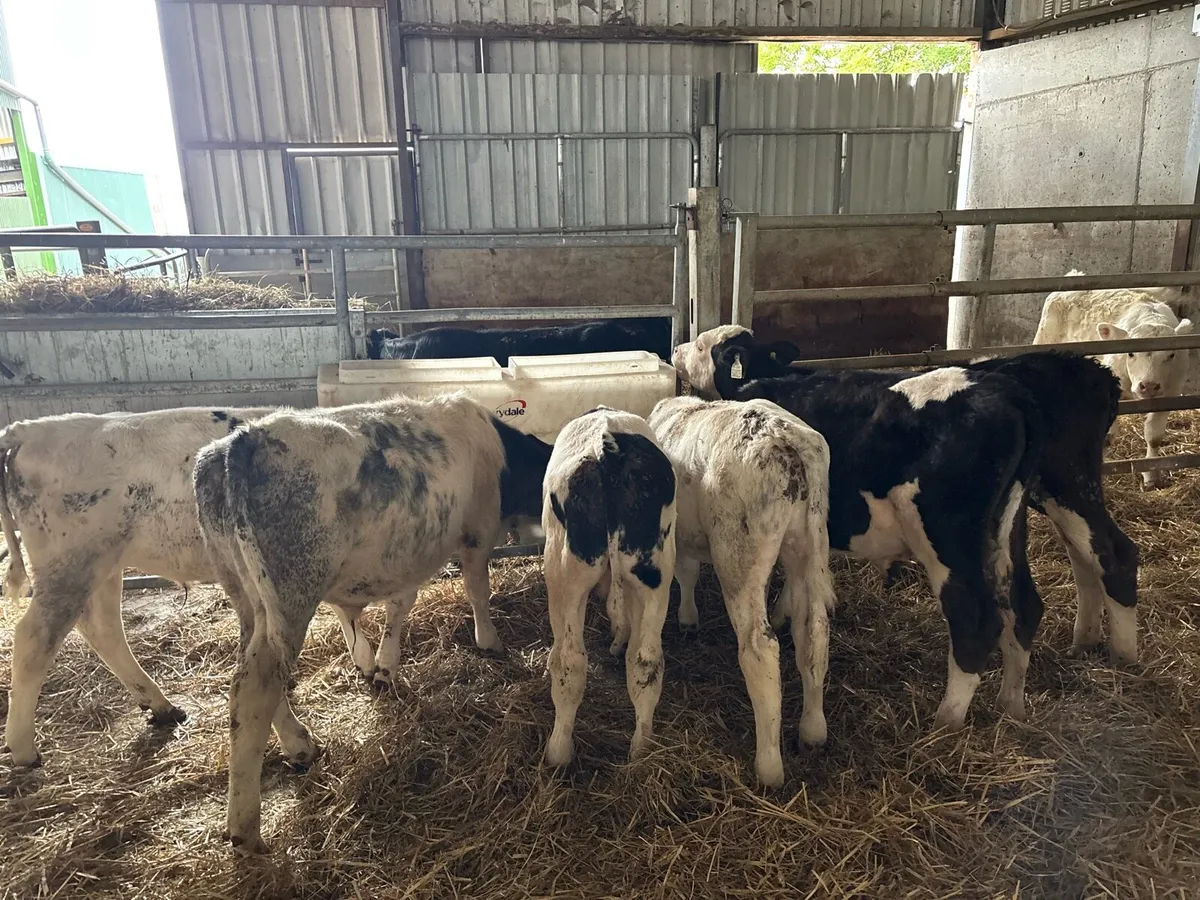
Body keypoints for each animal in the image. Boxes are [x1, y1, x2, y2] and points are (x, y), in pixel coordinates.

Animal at [193, 392, 551, 854]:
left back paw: (300, 745)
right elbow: (476, 589)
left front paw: (380, 664)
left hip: (248, 600)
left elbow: (397, 605)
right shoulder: (477, 532)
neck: (501, 450)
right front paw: (488, 640)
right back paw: (246, 826)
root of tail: (241, 442)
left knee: (254, 675)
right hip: (290, 597)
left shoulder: (407, 556)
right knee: (255, 690)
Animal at [540, 407, 676, 772]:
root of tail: (610, 447)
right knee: (646, 661)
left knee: (568, 662)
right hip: (654, 573)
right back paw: (642, 750)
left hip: (564, 572)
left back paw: (558, 752)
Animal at [643, 396, 834, 787]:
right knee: (814, 631)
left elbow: (686, 573)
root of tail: (785, 441)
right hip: (810, 542)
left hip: (737, 551)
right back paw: (812, 732)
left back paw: (769, 766)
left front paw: (687, 619)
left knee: (759, 648)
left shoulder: (680, 536)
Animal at [673, 326, 1045, 731]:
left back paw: (945, 722)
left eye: (700, 345)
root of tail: (1005, 392)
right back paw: (1012, 706)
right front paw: (785, 612)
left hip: (948, 536)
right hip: (1007, 529)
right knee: (1024, 605)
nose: (675, 350)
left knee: (974, 621)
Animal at [1032, 270, 1193, 488]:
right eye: (1130, 353)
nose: (1149, 386)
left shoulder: (1170, 394)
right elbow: (1107, 437)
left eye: (1171, 355)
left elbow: (1154, 436)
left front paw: (1151, 476)